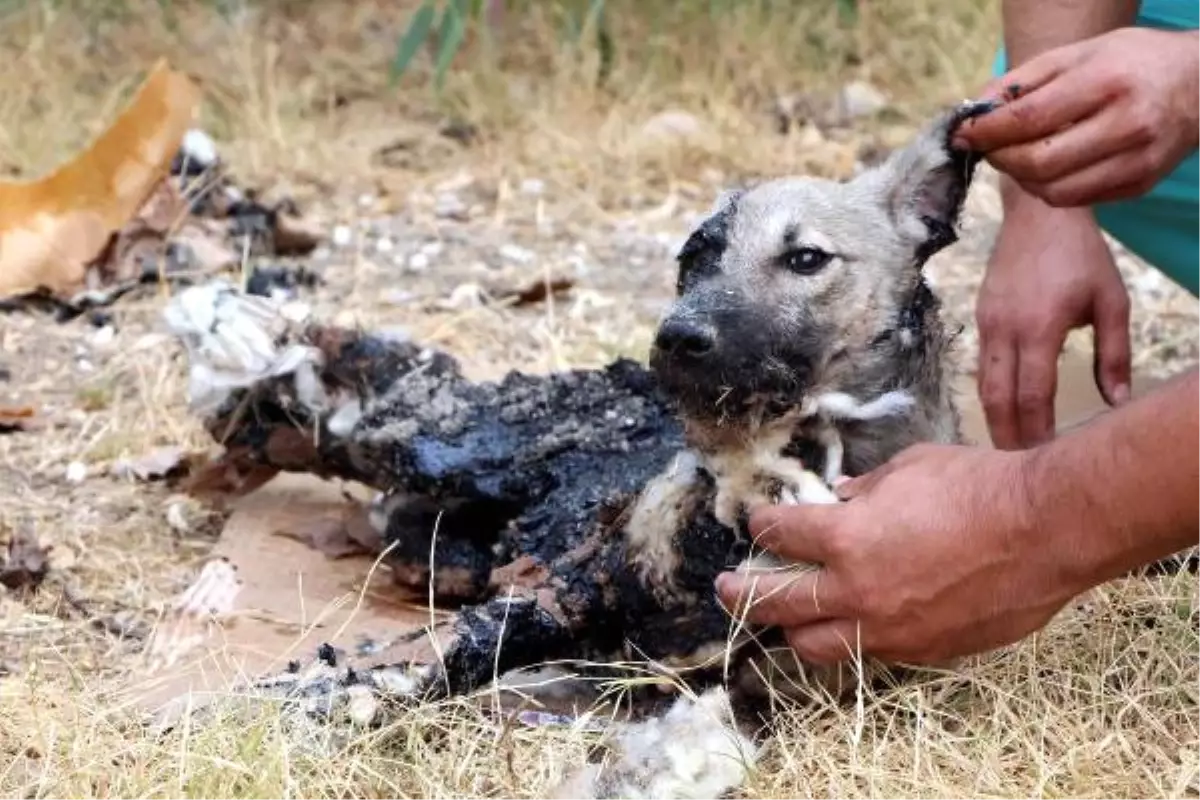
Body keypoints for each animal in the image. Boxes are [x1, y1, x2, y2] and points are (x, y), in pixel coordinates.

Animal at [164, 100, 998, 800]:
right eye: (692, 261)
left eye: (806, 259)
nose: (677, 340)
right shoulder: (562, 595)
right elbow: (425, 663)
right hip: (444, 441)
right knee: (354, 387)